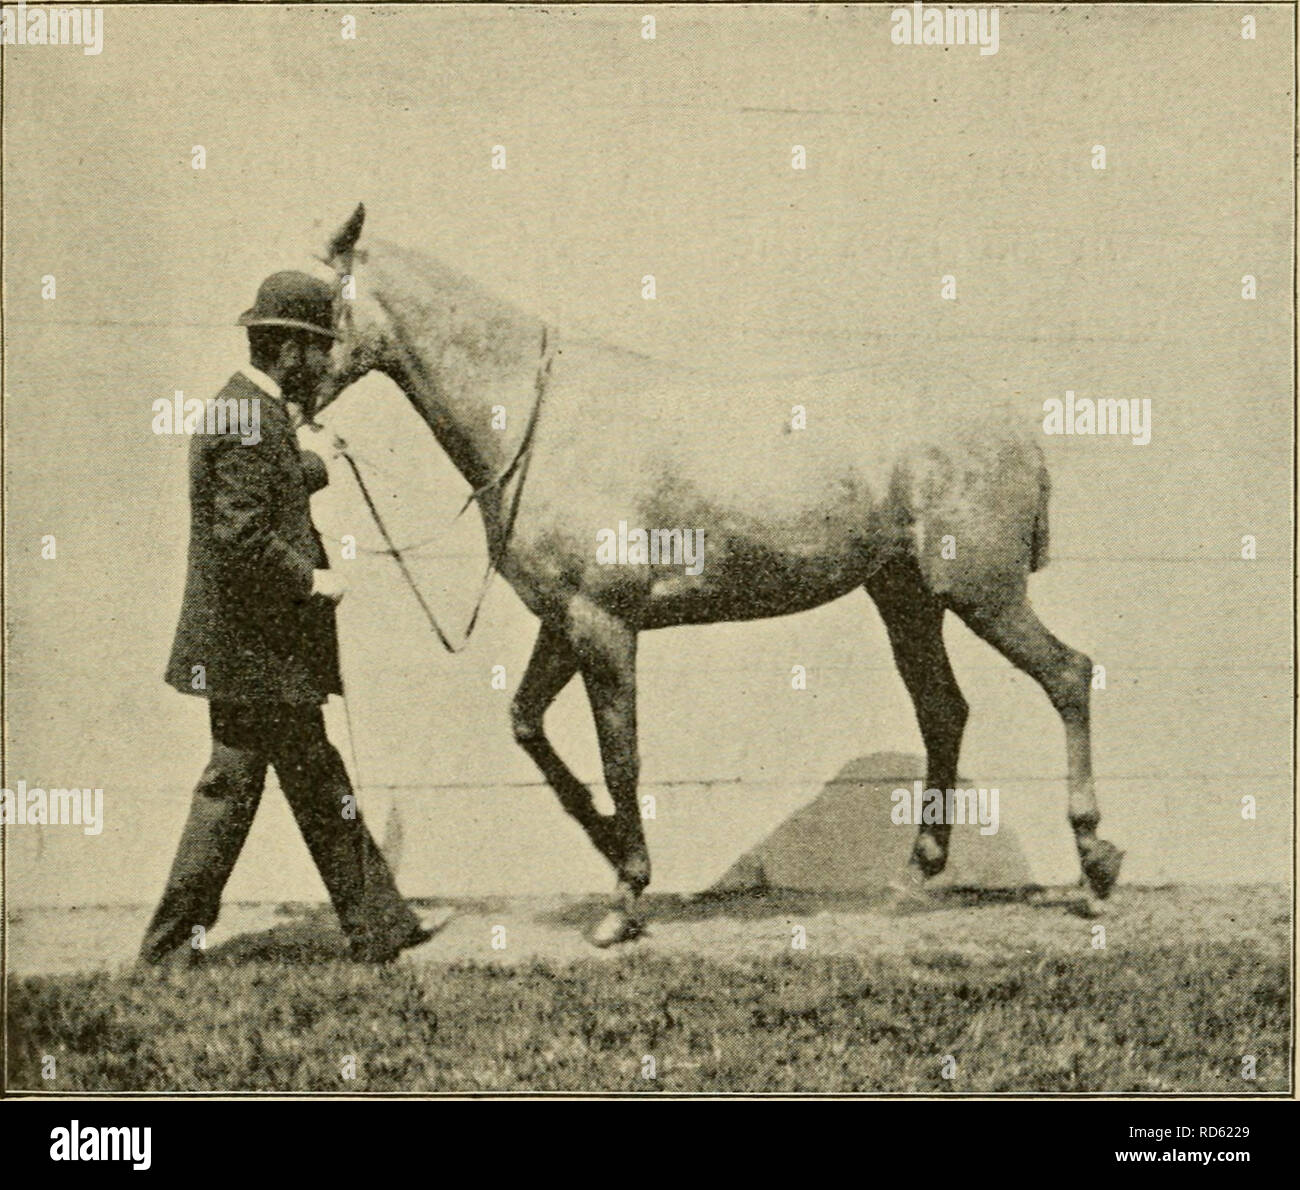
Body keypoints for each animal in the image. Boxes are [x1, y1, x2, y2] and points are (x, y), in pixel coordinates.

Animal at [311, 203, 1123, 945]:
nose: (287, 404)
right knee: (943, 711)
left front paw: (624, 899)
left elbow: (621, 756)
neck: (543, 426)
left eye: (311, 299)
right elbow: (527, 724)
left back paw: (1094, 868)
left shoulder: (604, 622)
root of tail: (1013, 425)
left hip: (980, 593)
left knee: (1066, 674)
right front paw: (609, 844)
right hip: (906, 598)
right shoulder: (564, 619)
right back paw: (914, 876)